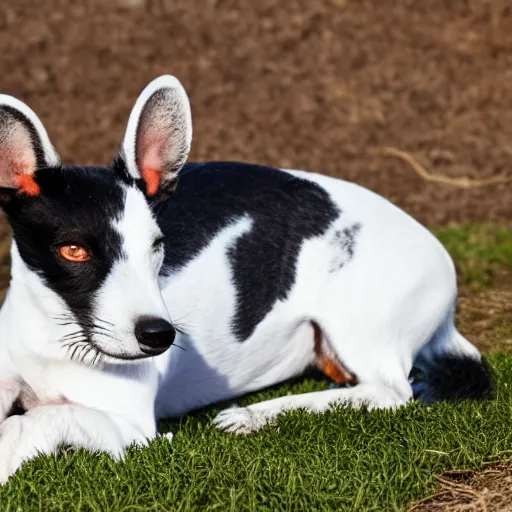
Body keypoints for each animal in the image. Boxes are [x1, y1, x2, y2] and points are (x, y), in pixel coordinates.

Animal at [0, 74, 492, 482]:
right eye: (74, 250)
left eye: (157, 245)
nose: (159, 336)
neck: (53, 338)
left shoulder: (132, 428)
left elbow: (37, 419)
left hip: (361, 325)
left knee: (389, 391)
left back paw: (255, 414)